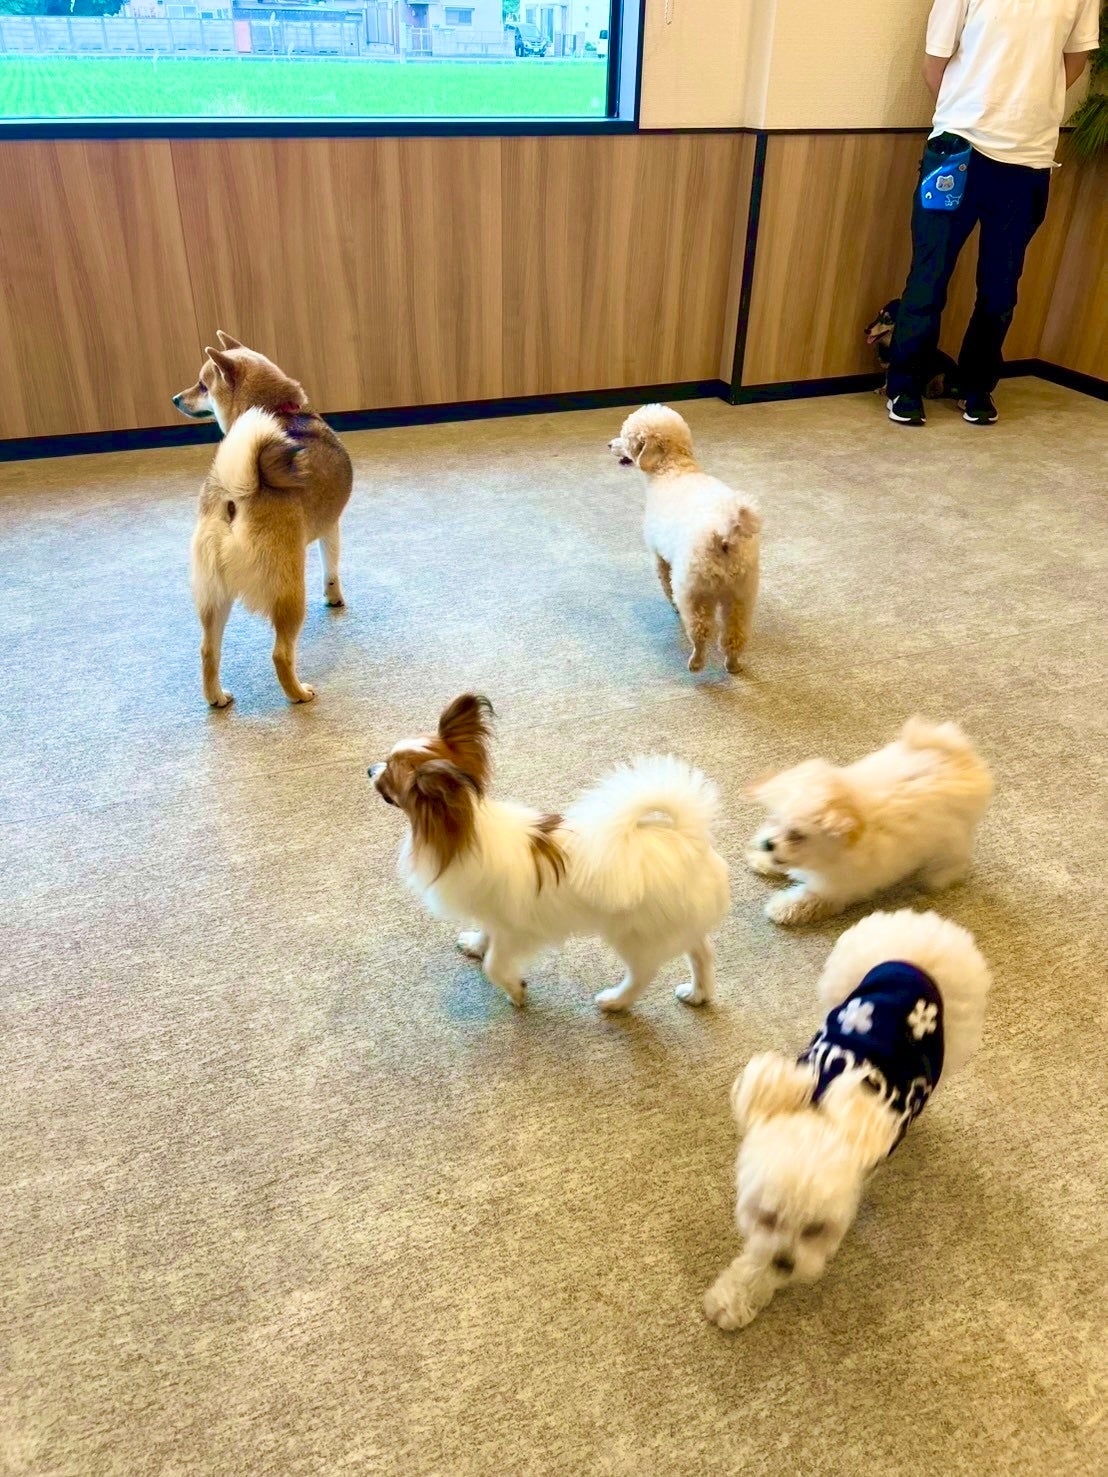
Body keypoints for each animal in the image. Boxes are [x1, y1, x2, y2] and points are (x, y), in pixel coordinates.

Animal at [173, 333, 353, 707]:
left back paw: (216, 697)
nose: (175, 399)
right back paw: (298, 693)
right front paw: (334, 597)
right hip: (289, 592)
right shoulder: (331, 527)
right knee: (281, 654)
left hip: (214, 599)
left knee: (208, 651)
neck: (281, 411)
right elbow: (331, 570)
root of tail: (236, 495)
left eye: (202, 385)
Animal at [368, 694, 730, 1011]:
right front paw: (475, 944)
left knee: (645, 973)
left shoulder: (515, 932)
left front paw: (515, 990)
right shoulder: (493, 916)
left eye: (389, 773)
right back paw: (698, 994)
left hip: (635, 936)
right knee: (702, 951)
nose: (370, 769)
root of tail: (688, 840)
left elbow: (493, 965)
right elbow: (485, 935)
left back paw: (615, 1002)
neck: (463, 835)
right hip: (674, 924)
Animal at [609, 405, 760, 675]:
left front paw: (672, 605)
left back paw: (696, 662)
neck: (673, 469)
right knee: (734, 636)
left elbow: (664, 582)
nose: (609, 444)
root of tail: (725, 533)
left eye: (626, 437)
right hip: (741, 594)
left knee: (701, 631)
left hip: (695, 589)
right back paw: (732, 665)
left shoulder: (659, 556)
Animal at [704, 907, 991, 1330]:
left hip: (953, 1034)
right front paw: (738, 1293)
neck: (818, 1111)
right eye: (767, 1218)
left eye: (816, 1230)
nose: (784, 1263)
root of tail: (925, 936)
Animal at [747, 718, 993, 925]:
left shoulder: (835, 887)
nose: (768, 843)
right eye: (773, 819)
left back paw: (937, 878)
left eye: (797, 835)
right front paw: (762, 860)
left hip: (953, 835)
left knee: (954, 858)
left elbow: (808, 899)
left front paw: (781, 908)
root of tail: (958, 754)